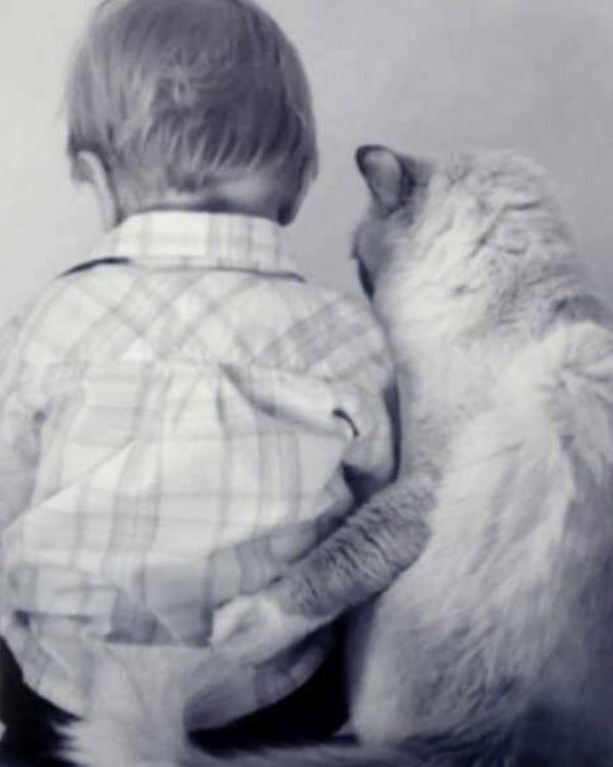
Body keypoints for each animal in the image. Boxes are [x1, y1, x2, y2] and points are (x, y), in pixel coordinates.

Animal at [63, 146, 613, 767]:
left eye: (357, 259)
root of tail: (479, 743)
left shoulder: (416, 483)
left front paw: (248, 623)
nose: (361, 283)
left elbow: (345, 553)